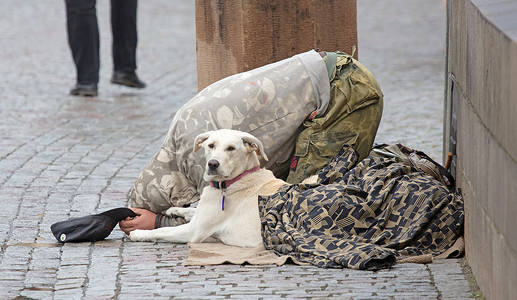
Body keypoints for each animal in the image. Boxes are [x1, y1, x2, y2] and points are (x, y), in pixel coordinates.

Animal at [129, 129, 286, 248]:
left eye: (231, 148)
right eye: (211, 145)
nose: (212, 164)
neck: (234, 181)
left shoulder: (193, 230)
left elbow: (162, 230)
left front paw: (140, 233)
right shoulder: (200, 214)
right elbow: (192, 210)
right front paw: (174, 210)